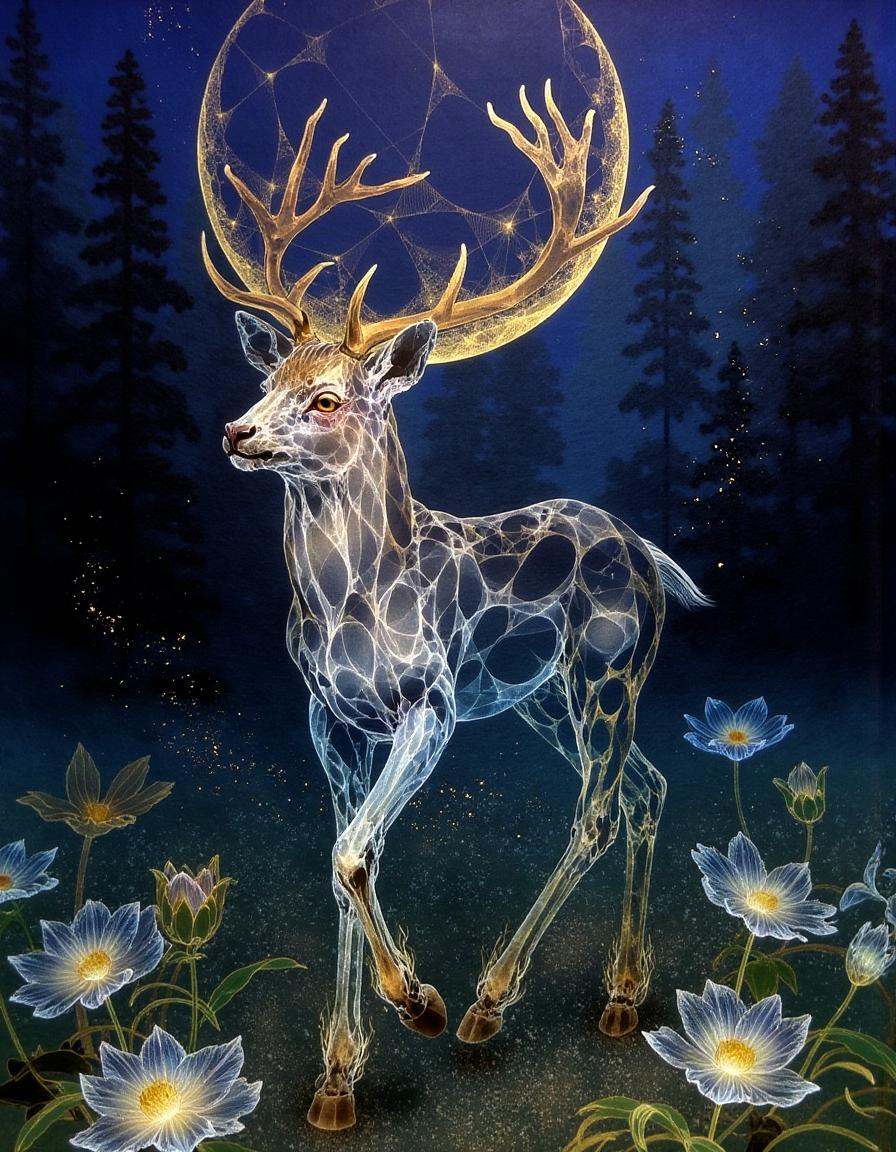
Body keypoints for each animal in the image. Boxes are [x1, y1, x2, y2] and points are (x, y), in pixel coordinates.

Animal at [202, 81, 709, 1132]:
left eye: (327, 398)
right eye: (266, 379)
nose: (234, 431)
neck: (352, 601)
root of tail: (645, 552)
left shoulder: (427, 704)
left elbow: (354, 854)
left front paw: (419, 1003)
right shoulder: (328, 714)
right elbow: (341, 858)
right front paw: (337, 1079)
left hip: (607, 673)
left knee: (598, 813)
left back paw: (489, 1000)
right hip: (546, 698)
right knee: (645, 788)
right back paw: (622, 990)